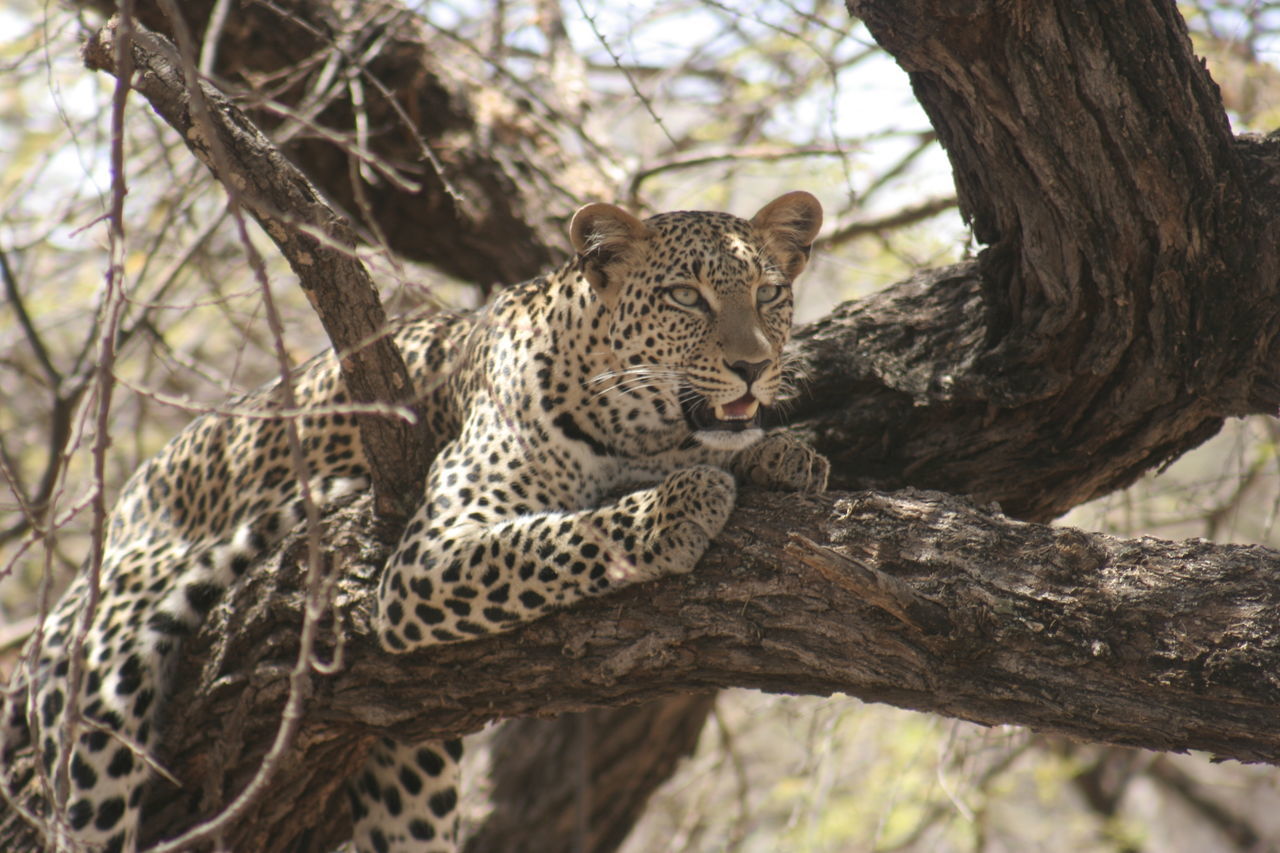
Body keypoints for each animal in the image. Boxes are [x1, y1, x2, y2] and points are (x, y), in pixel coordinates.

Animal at [2, 189, 829, 845]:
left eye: (770, 293)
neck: (632, 422)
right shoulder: (427, 560)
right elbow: (557, 536)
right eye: (687, 297)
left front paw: (783, 454)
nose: (755, 365)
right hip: (105, 680)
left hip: (412, 759)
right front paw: (679, 505)